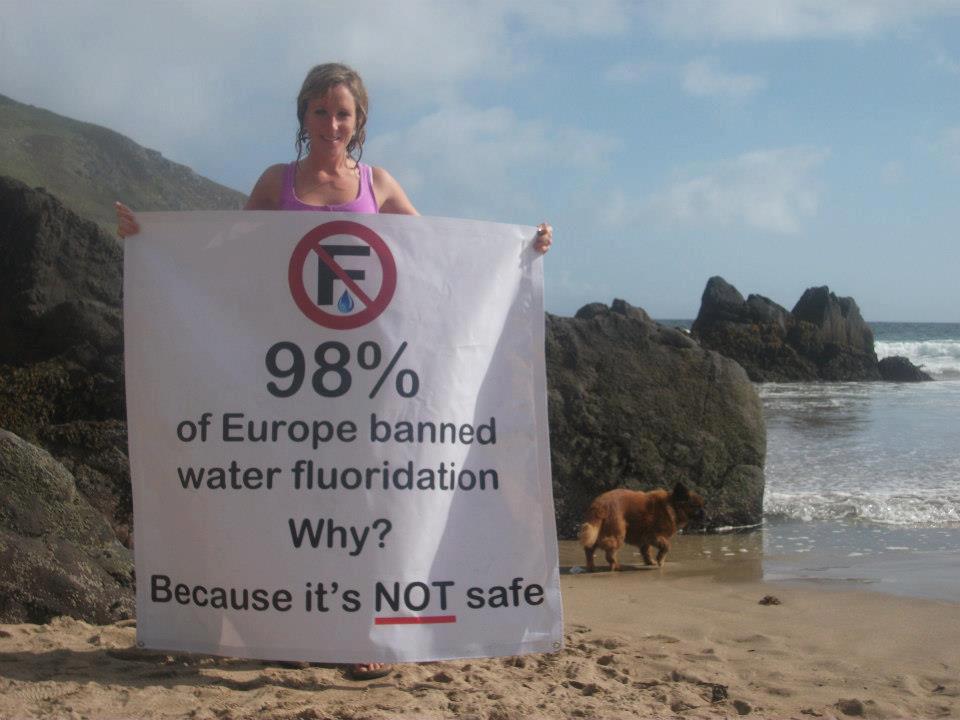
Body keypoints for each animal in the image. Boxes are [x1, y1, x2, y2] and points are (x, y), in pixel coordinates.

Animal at [576, 480, 704, 572]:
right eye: (696, 507)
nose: (705, 513)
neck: (671, 506)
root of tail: (599, 504)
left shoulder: (645, 540)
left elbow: (646, 551)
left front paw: (650, 562)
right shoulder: (654, 536)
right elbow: (666, 546)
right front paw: (660, 560)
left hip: (598, 533)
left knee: (589, 549)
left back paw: (591, 567)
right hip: (618, 534)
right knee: (609, 553)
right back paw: (616, 566)